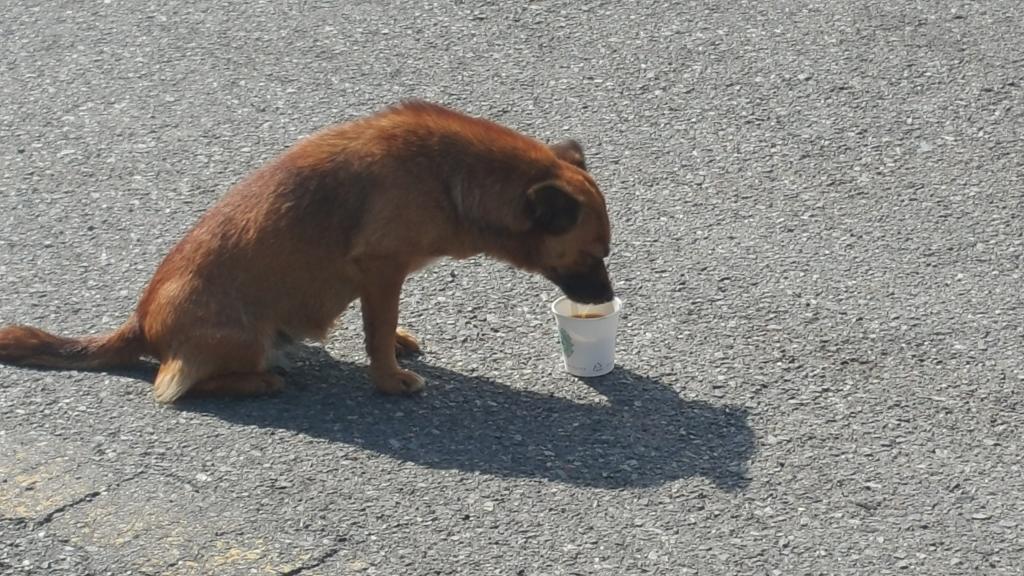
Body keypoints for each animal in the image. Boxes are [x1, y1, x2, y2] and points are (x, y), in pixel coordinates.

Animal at [0, 101, 606, 399]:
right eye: (593, 254)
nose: (606, 297)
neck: (449, 176)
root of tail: (142, 322)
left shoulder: (378, 278)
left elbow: (382, 322)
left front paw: (398, 341)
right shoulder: (382, 267)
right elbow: (376, 331)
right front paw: (387, 379)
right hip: (243, 337)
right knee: (170, 385)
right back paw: (257, 382)